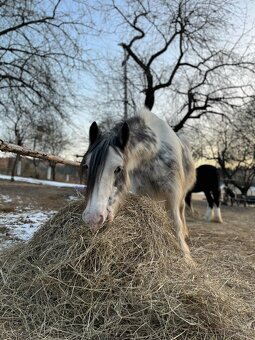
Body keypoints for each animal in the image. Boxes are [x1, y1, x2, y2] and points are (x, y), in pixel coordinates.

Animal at [81, 107, 195, 262]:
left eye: (118, 168)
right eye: (87, 166)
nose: (93, 219)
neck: (153, 152)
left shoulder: (173, 192)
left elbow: (176, 223)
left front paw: (187, 257)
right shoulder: (142, 192)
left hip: (182, 194)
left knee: (181, 211)